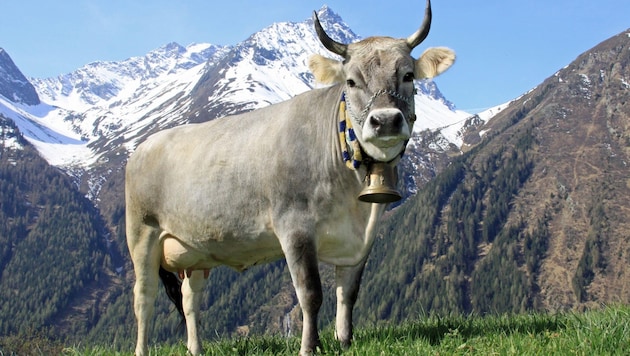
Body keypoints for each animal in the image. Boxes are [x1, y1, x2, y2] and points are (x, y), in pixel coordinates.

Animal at [126, 1, 456, 354]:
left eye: (408, 75)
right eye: (351, 82)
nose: (385, 121)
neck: (351, 197)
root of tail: (146, 144)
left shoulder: (361, 239)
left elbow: (349, 293)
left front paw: (344, 341)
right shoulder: (294, 228)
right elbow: (310, 294)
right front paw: (309, 346)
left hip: (196, 249)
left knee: (190, 301)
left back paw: (195, 349)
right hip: (142, 233)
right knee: (144, 299)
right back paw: (142, 348)